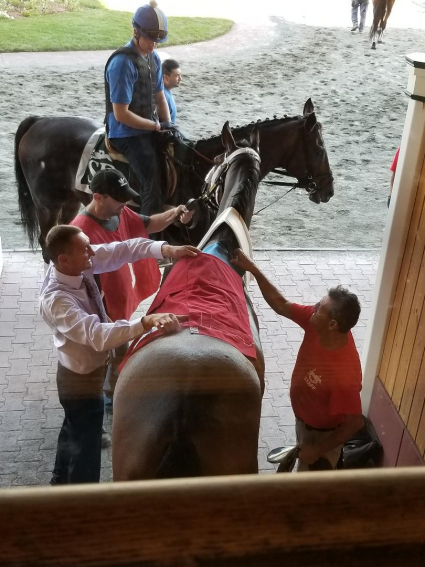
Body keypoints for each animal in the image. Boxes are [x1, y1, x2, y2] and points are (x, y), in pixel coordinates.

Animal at [14, 100, 334, 260]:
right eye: (319, 146)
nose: (328, 188)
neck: (202, 171)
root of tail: (39, 121)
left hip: (69, 201)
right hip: (47, 204)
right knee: (46, 241)